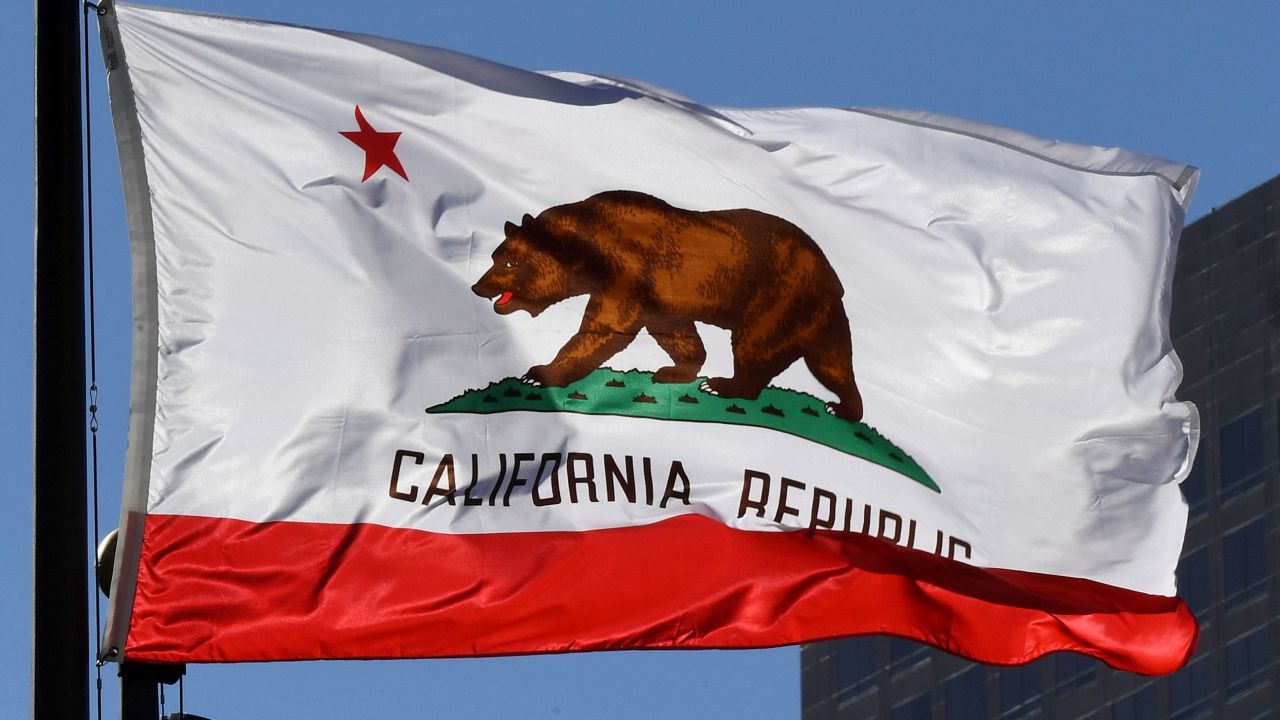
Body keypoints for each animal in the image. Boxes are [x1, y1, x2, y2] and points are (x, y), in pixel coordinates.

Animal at [476, 189, 865, 420]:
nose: (479, 287)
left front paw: (540, 372)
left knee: (757, 345)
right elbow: (674, 332)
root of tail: (832, 276)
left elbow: (605, 328)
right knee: (832, 363)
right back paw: (845, 406)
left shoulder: (627, 272)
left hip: (778, 296)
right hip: (815, 315)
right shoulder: (660, 298)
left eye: (510, 263)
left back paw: (724, 385)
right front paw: (675, 370)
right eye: (496, 256)